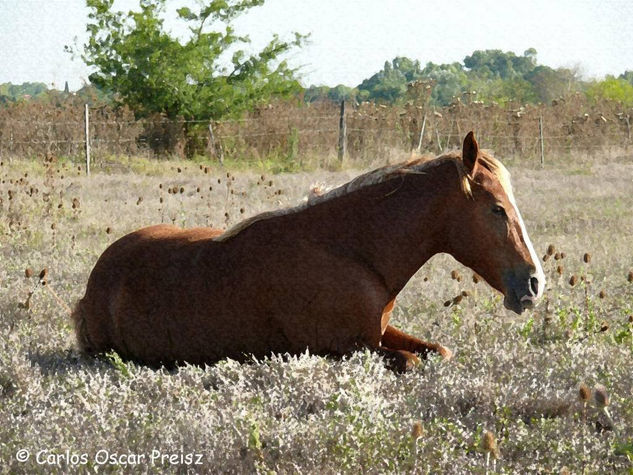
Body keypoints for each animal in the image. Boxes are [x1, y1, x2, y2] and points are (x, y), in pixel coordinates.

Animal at [70, 133, 544, 372]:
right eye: (497, 208)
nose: (534, 283)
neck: (353, 253)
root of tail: (94, 283)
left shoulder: (378, 333)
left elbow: (438, 352)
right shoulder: (342, 347)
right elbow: (410, 362)